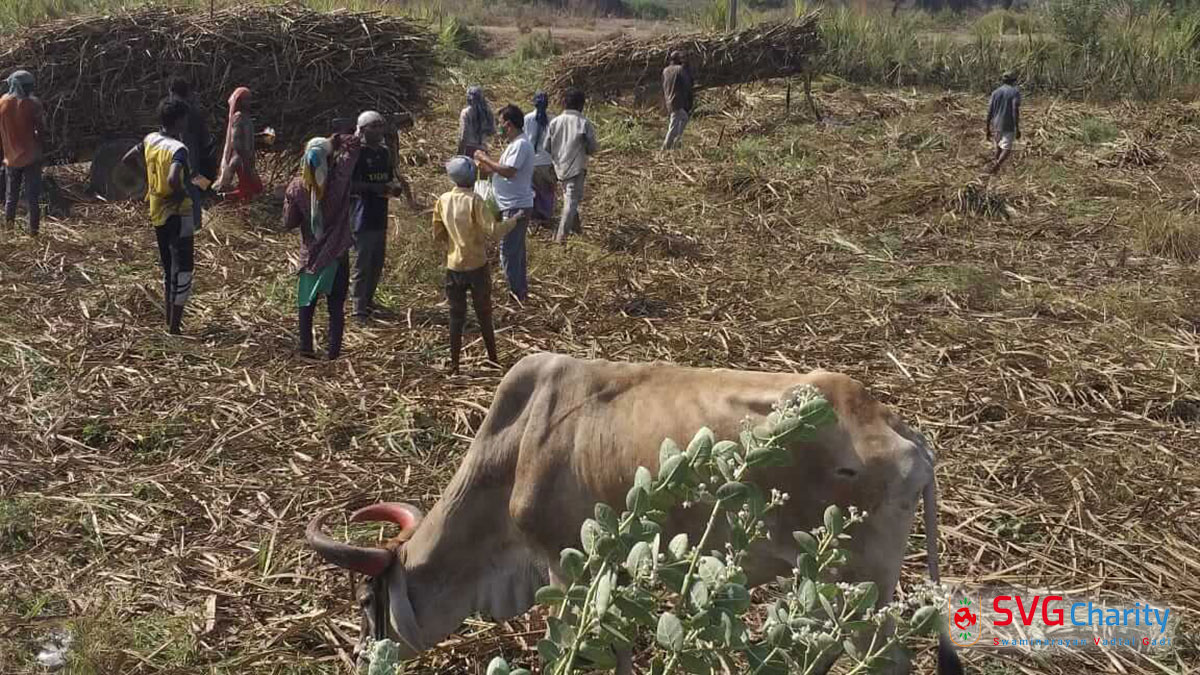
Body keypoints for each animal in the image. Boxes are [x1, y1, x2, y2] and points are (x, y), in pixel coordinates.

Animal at [306, 352, 963, 674]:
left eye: (365, 604)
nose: (361, 659)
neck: (514, 451)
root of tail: (898, 428)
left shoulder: (565, 567)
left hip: (858, 592)